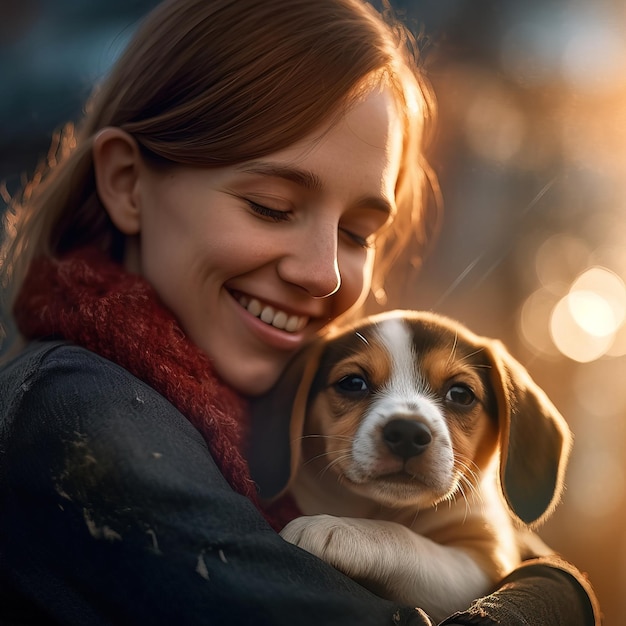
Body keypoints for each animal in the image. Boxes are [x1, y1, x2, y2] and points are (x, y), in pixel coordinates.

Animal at [246, 308, 568, 620]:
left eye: (460, 394)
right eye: (353, 383)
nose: (407, 434)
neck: (382, 508)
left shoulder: (483, 561)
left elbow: (404, 537)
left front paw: (337, 528)